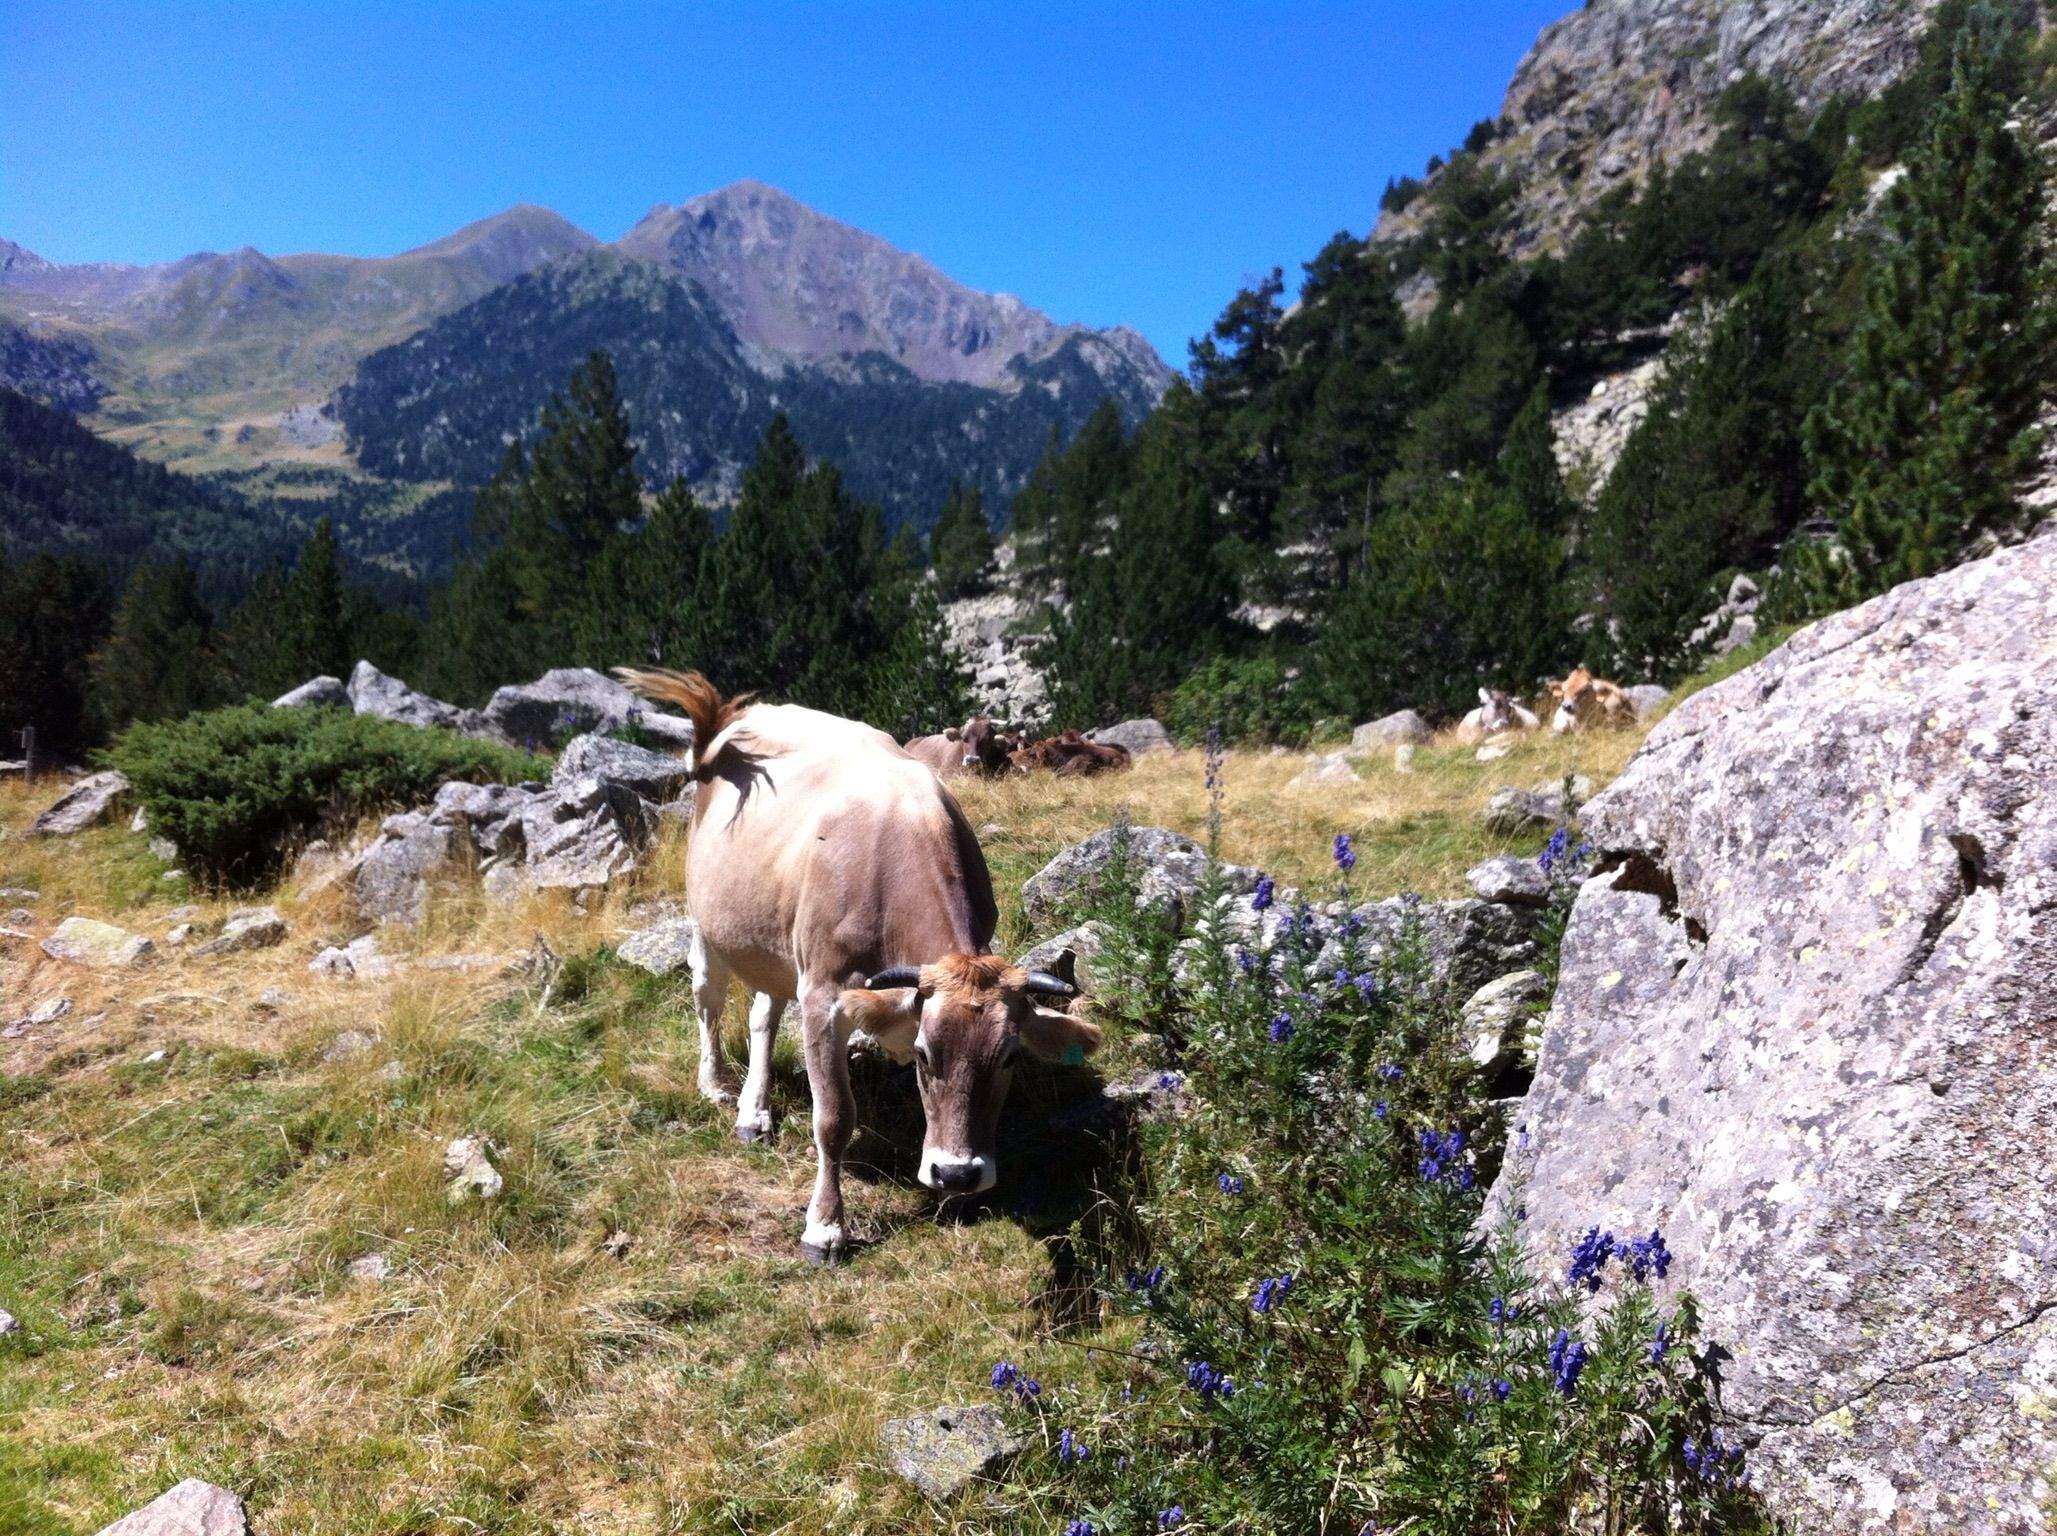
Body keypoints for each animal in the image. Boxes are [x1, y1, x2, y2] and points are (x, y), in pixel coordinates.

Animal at [618, 668, 1100, 1263]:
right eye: (924, 1054)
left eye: (1010, 1056)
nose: (958, 1174)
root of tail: (744, 718)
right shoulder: (824, 996)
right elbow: (833, 1119)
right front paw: (824, 1227)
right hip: (709, 922)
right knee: (708, 998)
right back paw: (716, 1085)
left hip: (775, 941)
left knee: (762, 1014)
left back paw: (754, 1112)